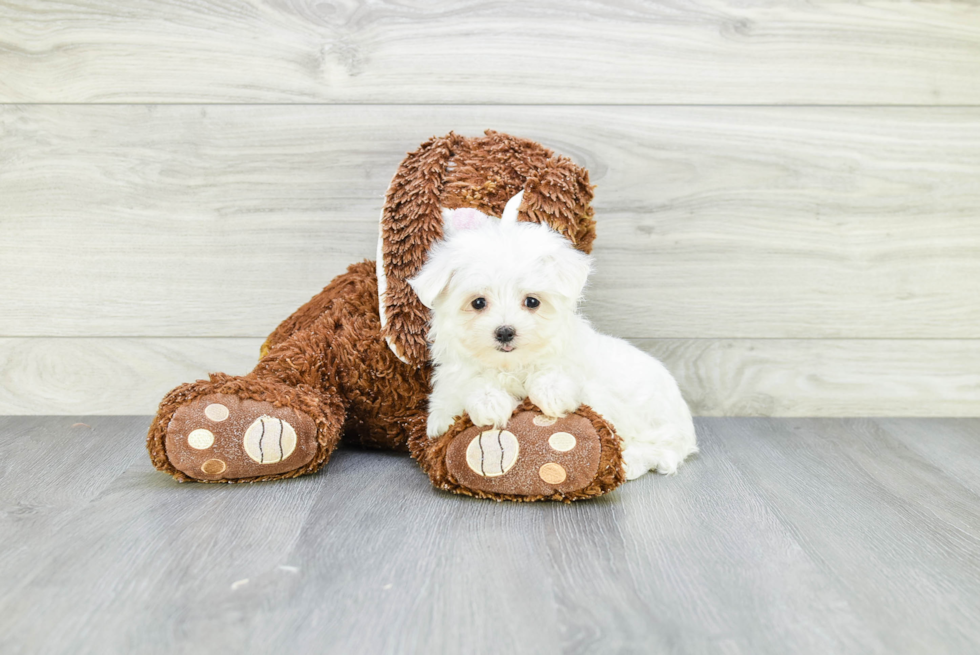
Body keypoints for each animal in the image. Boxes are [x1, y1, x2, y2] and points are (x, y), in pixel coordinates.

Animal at [408, 192, 696, 480]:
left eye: (532, 301)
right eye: (478, 303)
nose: (505, 332)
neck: (512, 366)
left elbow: (558, 373)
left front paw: (551, 392)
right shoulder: (449, 390)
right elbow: (465, 389)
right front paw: (489, 402)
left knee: (663, 449)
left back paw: (631, 462)